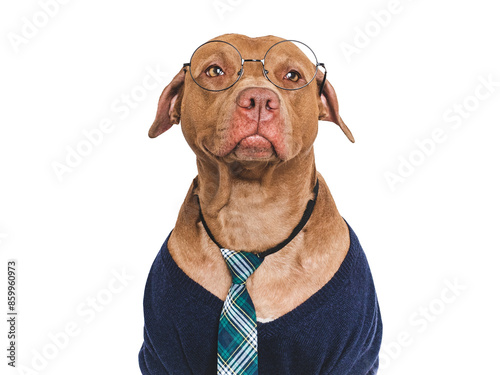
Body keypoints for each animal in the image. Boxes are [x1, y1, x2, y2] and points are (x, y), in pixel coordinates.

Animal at [139, 33, 380, 374]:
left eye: (292, 76)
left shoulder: (351, 353)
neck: (252, 217)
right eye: (214, 71)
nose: (259, 99)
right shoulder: (162, 352)